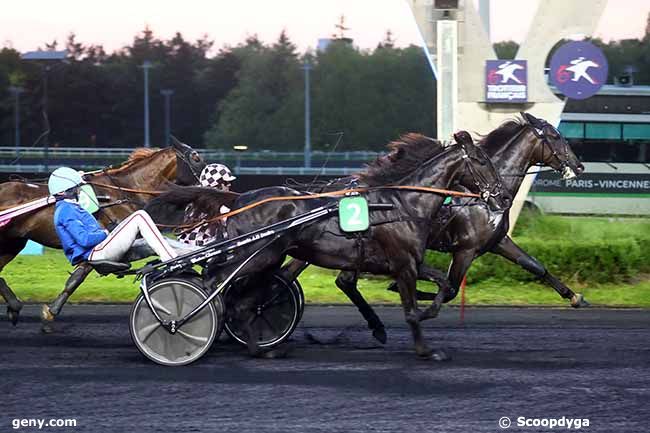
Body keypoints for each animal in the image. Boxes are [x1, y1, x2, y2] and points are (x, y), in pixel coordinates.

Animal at [0, 139, 205, 324]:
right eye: (196, 158)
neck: (122, 192)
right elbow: (76, 278)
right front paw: (51, 312)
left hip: (13, 243)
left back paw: (14, 305)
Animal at [149, 132, 508, 358]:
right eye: (482, 161)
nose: (503, 196)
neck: (402, 203)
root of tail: (240, 199)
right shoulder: (404, 264)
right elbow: (409, 311)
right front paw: (425, 349)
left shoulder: (411, 262)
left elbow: (444, 283)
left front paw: (427, 310)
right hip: (257, 255)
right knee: (217, 283)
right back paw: (182, 322)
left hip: (268, 258)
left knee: (243, 300)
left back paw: (260, 348)